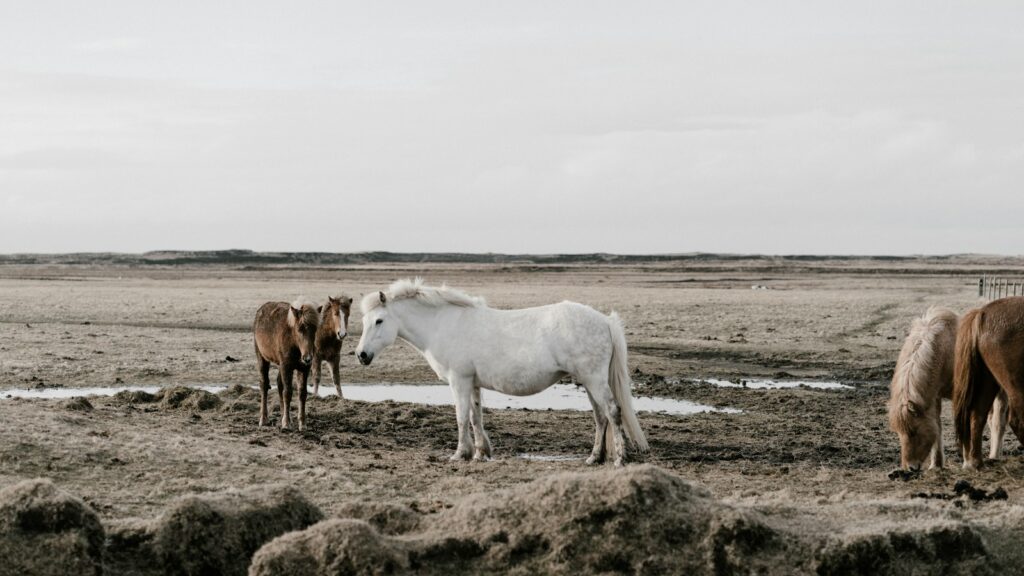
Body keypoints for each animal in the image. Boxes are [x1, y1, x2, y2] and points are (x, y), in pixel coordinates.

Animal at [253, 298, 320, 431]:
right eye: (300, 328)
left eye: (315, 329)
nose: (308, 358)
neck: (293, 341)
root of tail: (260, 310)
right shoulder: (286, 366)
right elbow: (288, 392)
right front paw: (287, 423)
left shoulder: (304, 368)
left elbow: (302, 393)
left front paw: (302, 423)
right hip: (262, 357)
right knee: (264, 384)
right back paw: (263, 419)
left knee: (279, 384)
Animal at [353, 278, 649, 466]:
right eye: (365, 321)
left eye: (379, 321)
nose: (361, 355)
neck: (443, 324)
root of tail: (605, 320)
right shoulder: (472, 384)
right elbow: (476, 417)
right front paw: (479, 453)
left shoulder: (459, 381)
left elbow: (461, 418)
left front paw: (460, 454)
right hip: (588, 382)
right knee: (600, 418)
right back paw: (594, 458)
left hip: (595, 381)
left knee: (612, 412)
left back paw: (619, 459)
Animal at [889, 307, 1007, 471]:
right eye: (899, 433)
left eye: (913, 431)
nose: (911, 468)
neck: (945, 351)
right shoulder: (935, 397)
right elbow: (938, 427)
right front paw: (936, 465)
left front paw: (967, 463)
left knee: (998, 421)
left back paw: (995, 456)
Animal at [954, 296, 1024, 469]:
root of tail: (983, 313)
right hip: (1015, 385)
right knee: (1017, 420)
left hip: (989, 382)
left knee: (977, 415)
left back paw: (976, 462)